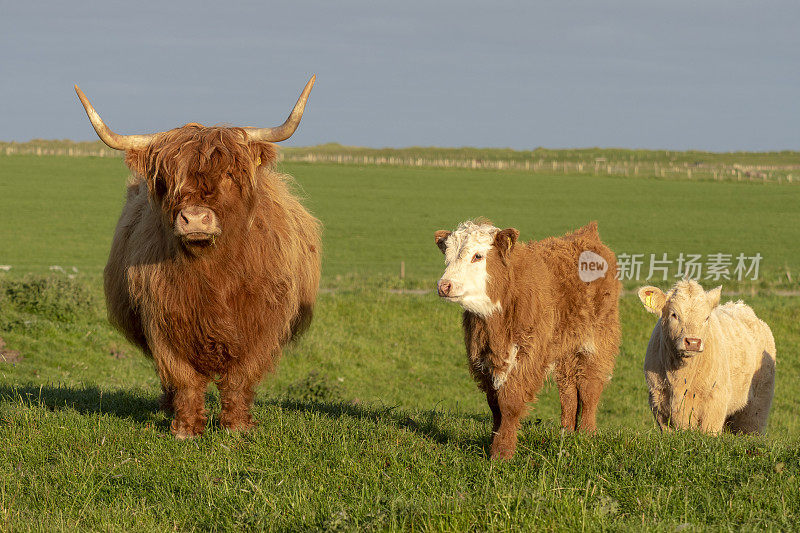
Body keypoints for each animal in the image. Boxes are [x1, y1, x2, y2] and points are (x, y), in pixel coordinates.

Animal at [76, 77, 322, 438]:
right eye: (165, 180)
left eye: (230, 175)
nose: (194, 218)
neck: (213, 271)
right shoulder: (163, 318)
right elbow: (184, 377)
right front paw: (186, 428)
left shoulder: (261, 324)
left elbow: (239, 378)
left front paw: (237, 426)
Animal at [434, 219, 620, 458]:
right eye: (447, 256)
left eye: (478, 256)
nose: (444, 285)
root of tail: (586, 235)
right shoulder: (484, 360)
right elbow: (495, 405)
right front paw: (493, 441)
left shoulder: (526, 356)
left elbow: (509, 403)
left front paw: (502, 451)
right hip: (565, 349)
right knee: (568, 389)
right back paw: (567, 433)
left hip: (597, 340)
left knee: (589, 387)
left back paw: (587, 434)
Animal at [636, 278, 776, 432]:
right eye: (674, 314)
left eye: (706, 317)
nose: (693, 342)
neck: (680, 377)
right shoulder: (659, 401)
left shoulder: (715, 402)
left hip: (758, 404)